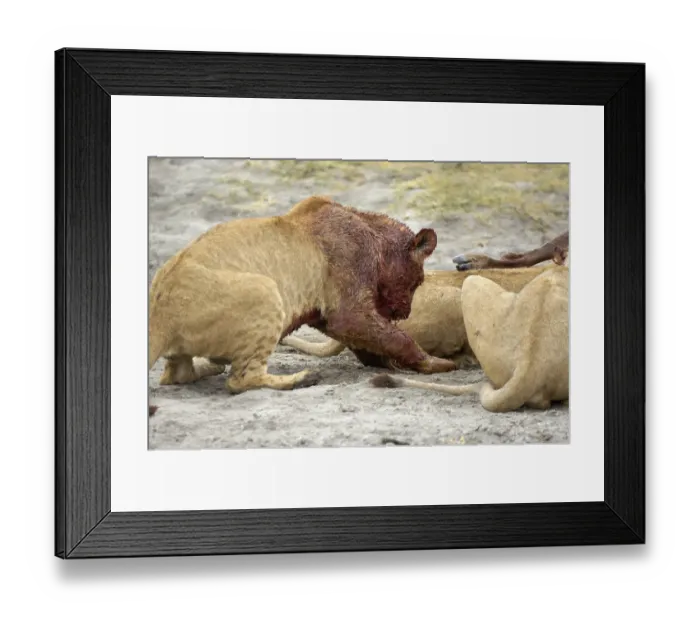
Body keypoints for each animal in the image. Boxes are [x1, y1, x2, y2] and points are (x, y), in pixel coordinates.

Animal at [148, 195, 456, 395]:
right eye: (418, 281)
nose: (404, 312)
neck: (371, 232)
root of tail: (160, 316)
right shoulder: (348, 308)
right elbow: (396, 338)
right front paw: (436, 363)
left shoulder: (327, 317)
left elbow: (372, 342)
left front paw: (387, 365)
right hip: (265, 292)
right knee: (241, 381)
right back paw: (301, 379)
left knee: (176, 375)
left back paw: (206, 369)